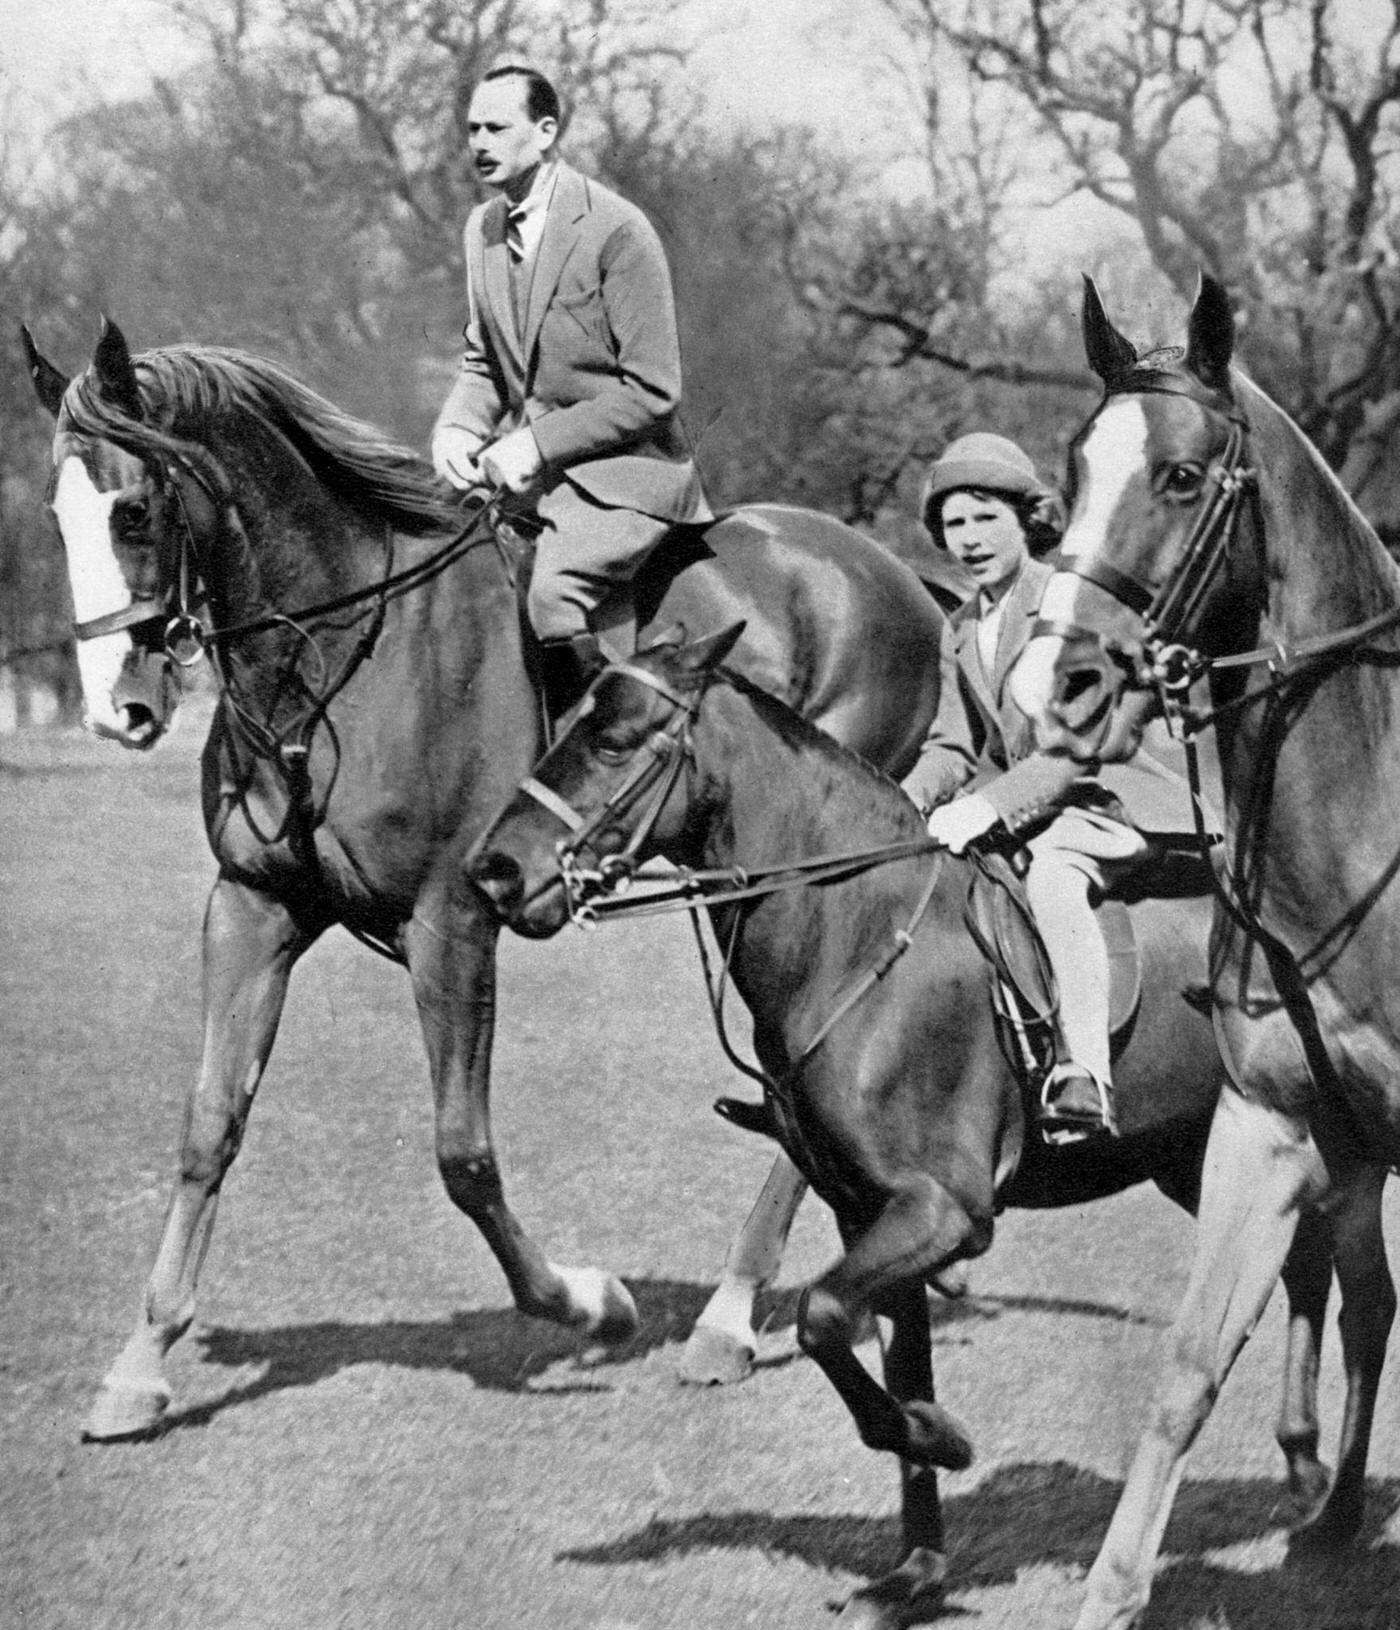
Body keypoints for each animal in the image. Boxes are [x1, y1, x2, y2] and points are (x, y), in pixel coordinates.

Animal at [21, 317, 945, 1440]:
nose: (118, 710)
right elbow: (209, 1127)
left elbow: (462, 1153)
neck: (338, 653)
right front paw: (140, 1363)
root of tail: (886, 573)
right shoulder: (251, 908)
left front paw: (588, 1303)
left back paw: (727, 1318)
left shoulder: (450, 920)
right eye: (57, 514)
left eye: (135, 510)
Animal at [466, 625, 1349, 1630]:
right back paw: (1309, 1472)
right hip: (1204, 1158)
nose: (493, 871)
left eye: (614, 741)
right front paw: (916, 1571)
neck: (854, 929)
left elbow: (819, 1318)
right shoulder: (870, 1212)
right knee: (1318, 1268)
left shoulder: (943, 1211)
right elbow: (896, 1358)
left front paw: (942, 1439)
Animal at [1003, 273, 1395, 1623]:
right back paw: (1329, 1515)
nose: (1053, 685)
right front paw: (1110, 1592)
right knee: (1368, 1306)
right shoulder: (1271, 1127)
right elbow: (1186, 1366)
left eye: (1179, 477)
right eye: (1070, 473)